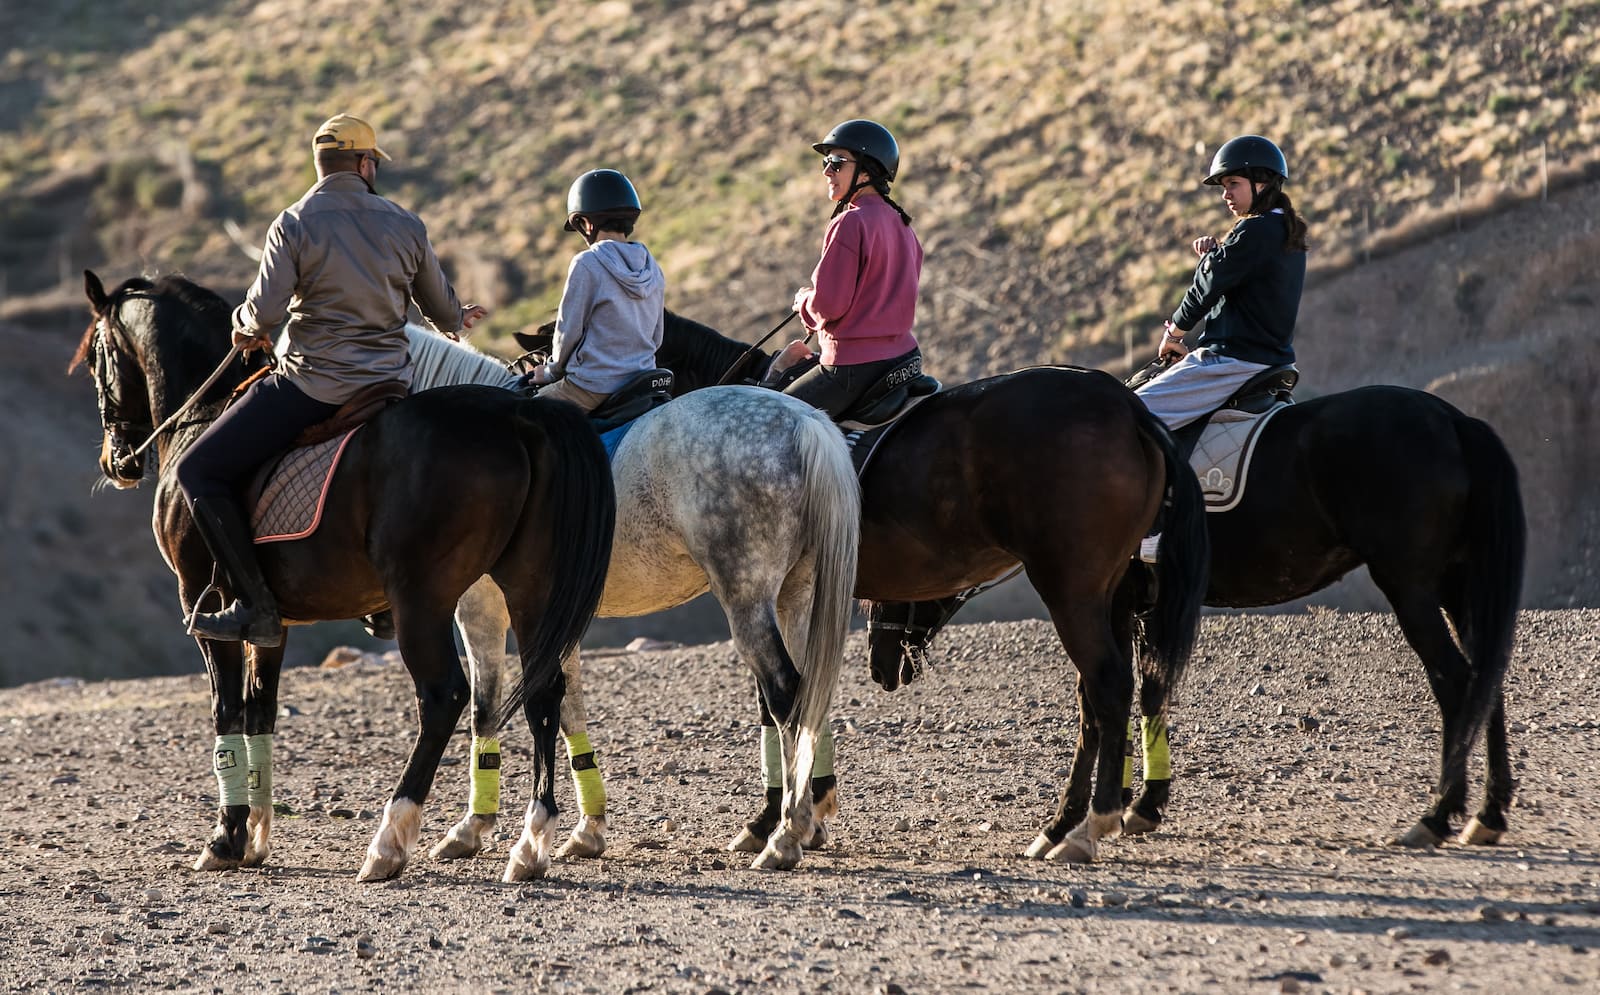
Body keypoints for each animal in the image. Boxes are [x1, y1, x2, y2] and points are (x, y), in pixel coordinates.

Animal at [72, 271, 616, 882]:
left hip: (422, 599)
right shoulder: (268, 620)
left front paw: (226, 838)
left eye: (96, 358)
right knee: (545, 692)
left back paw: (390, 841)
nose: (115, 461)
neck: (204, 414)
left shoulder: (203, 606)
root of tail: (519, 418)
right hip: (527, 589)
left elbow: (227, 710)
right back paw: (531, 844)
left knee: (443, 697)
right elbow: (260, 710)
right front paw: (255, 836)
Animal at [402, 328, 861, 870]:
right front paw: (587, 828)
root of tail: (804, 420)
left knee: (786, 691)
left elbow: (485, 708)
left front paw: (474, 827)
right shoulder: (556, 618)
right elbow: (568, 707)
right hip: (797, 594)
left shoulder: (481, 608)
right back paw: (805, 816)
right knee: (809, 691)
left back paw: (786, 833)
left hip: (747, 598)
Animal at [625, 312, 1209, 863]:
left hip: (1070, 590)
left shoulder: (753, 593)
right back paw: (1066, 822)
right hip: (1107, 593)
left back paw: (1093, 823)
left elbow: (777, 702)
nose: (885, 667)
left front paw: (777, 818)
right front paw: (803, 809)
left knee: (1107, 684)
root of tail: (1124, 406)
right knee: (1100, 695)